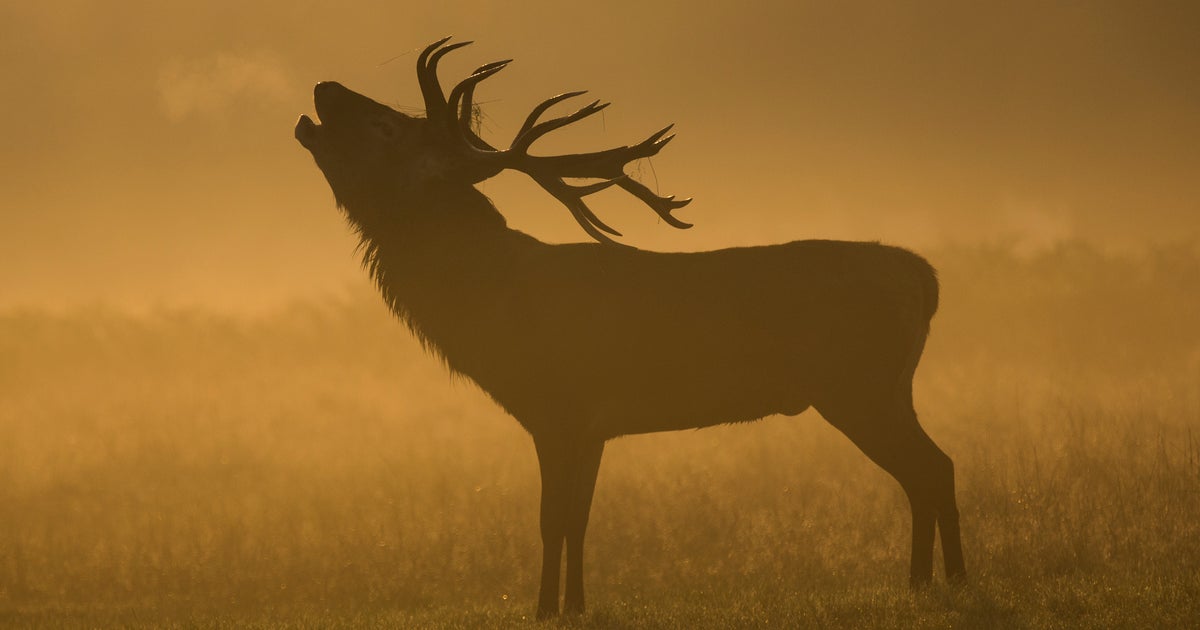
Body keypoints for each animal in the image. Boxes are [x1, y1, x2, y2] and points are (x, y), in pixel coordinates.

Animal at [294, 37, 965, 618]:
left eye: (388, 128)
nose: (325, 87)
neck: (492, 309)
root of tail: (925, 276)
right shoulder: (592, 426)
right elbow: (579, 519)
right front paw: (575, 606)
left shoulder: (557, 408)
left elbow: (552, 518)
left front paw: (543, 609)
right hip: (886, 387)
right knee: (927, 470)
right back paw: (923, 583)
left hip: (859, 385)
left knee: (932, 467)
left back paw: (950, 582)